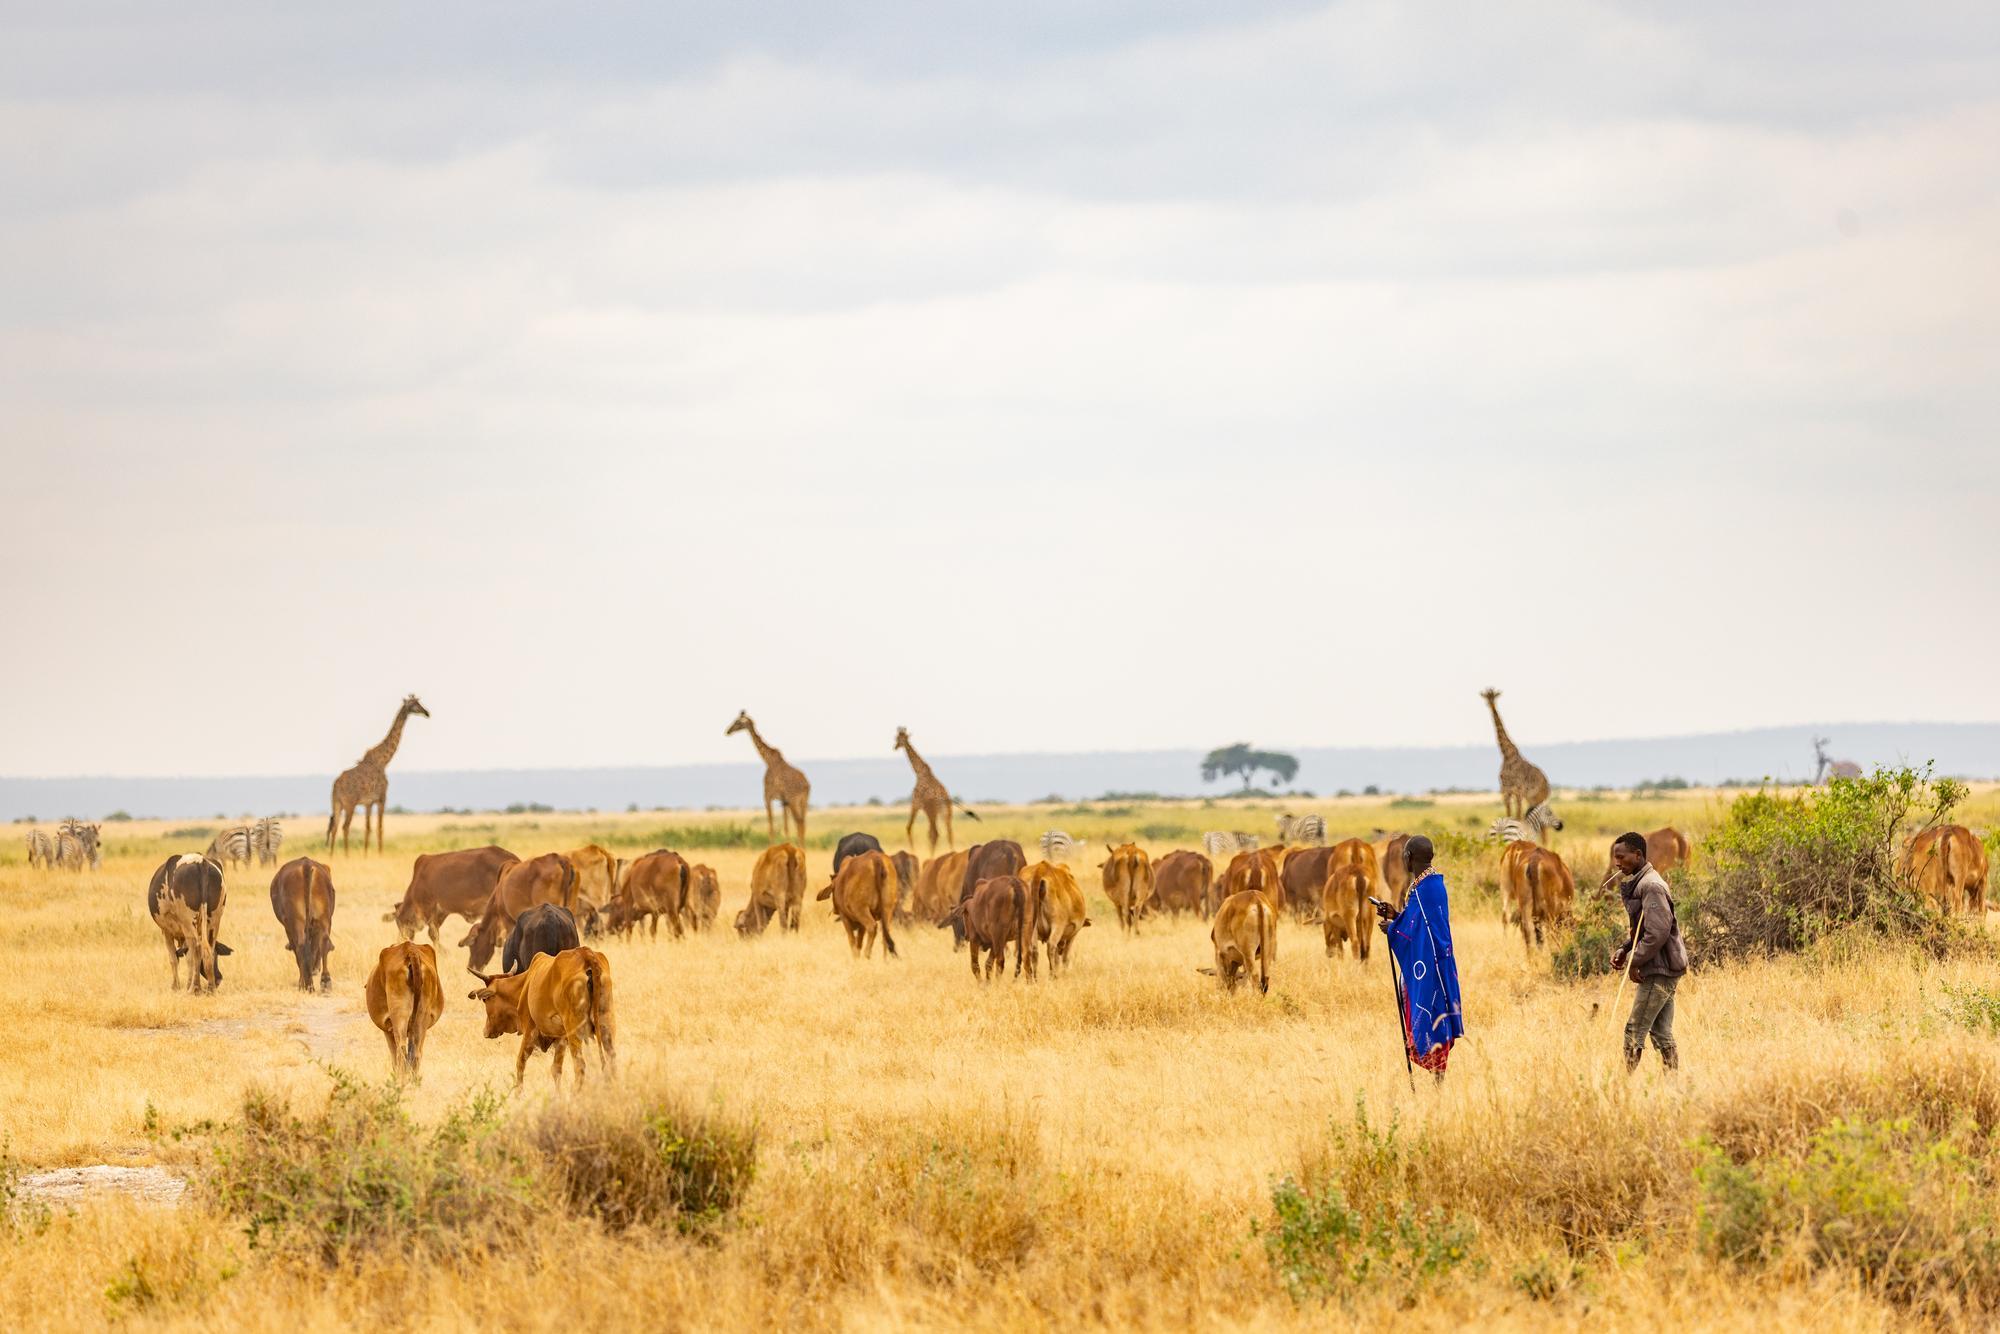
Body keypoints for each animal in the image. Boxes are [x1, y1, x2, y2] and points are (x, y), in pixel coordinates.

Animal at [326, 694, 430, 855]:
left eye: (419, 702)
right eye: (414, 704)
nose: (427, 713)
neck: (383, 761)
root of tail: (336, 785)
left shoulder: (369, 802)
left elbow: (368, 828)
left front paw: (365, 854)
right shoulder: (382, 798)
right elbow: (380, 828)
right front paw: (380, 854)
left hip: (336, 803)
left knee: (335, 826)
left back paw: (331, 855)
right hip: (350, 804)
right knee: (345, 826)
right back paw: (346, 855)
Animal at [727, 711, 809, 846]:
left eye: (737, 722)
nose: (727, 731)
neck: (768, 760)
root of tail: (807, 784)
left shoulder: (767, 796)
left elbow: (771, 826)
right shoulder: (783, 801)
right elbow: (785, 827)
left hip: (794, 800)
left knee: (799, 822)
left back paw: (801, 847)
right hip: (803, 800)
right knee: (802, 822)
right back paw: (801, 847)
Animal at [895, 726, 980, 855]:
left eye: (898, 739)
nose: (894, 746)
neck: (919, 773)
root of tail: (946, 799)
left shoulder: (915, 803)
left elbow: (909, 827)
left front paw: (913, 852)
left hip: (932, 811)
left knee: (934, 833)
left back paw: (933, 856)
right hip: (946, 813)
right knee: (948, 832)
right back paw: (950, 853)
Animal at [1481, 689, 1554, 833]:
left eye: (1494, 696)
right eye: (1486, 696)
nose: (1490, 704)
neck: (1506, 755)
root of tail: (1547, 784)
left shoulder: (1518, 790)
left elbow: (1518, 816)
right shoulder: (1505, 790)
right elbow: (1509, 814)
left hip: (1538, 797)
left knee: (1543, 826)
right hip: (1531, 798)